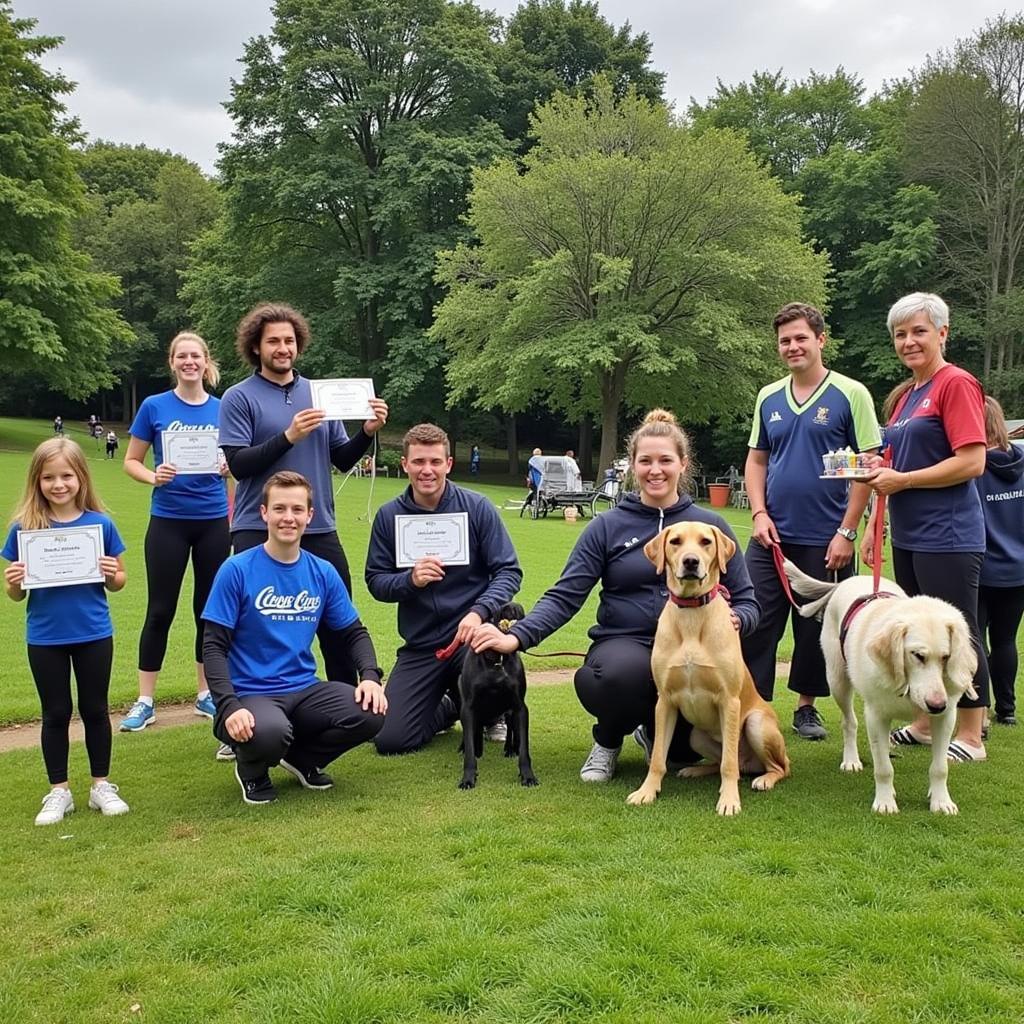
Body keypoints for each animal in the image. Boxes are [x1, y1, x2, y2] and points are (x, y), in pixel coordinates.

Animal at [456, 598, 536, 790]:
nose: (513, 606)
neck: (496, 661)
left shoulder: (520, 707)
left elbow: (524, 748)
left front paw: (528, 776)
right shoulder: (468, 708)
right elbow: (469, 749)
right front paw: (468, 778)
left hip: (509, 712)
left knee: (511, 730)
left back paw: (510, 749)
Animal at [626, 520, 786, 815]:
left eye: (705, 542)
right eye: (675, 541)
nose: (691, 561)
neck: (691, 613)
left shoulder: (730, 701)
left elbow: (728, 764)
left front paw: (729, 800)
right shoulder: (664, 702)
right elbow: (658, 757)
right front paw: (647, 791)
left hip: (756, 723)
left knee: (775, 766)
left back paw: (765, 779)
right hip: (696, 736)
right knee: (726, 761)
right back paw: (695, 770)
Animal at [782, 561, 974, 815]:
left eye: (946, 657)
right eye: (917, 655)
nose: (936, 705)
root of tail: (848, 581)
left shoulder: (945, 717)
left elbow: (940, 767)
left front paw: (941, 801)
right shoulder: (876, 716)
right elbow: (883, 768)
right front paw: (884, 801)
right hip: (837, 681)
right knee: (849, 722)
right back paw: (851, 760)